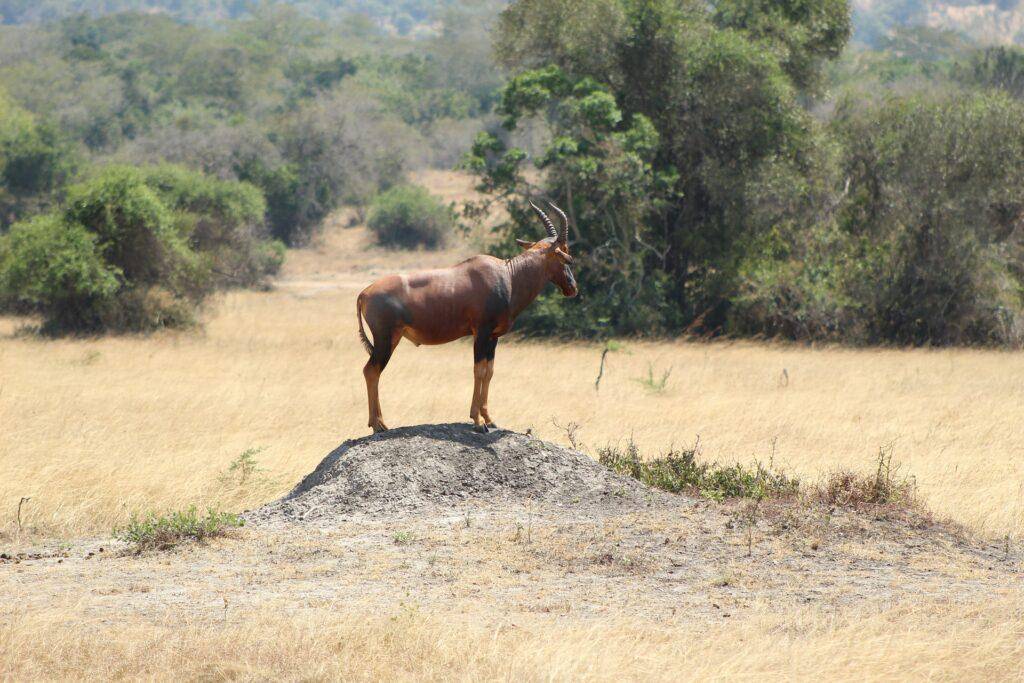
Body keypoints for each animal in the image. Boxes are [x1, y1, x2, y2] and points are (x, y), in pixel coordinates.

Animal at [356, 200, 577, 432]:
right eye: (564, 254)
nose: (572, 288)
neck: (508, 276)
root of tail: (364, 293)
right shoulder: (480, 333)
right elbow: (478, 370)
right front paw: (478, 422)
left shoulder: (493, 337)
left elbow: (489, 371)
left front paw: (489, 419)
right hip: (386, 339)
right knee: (371, 371)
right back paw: (379, 424)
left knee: (372, 371)